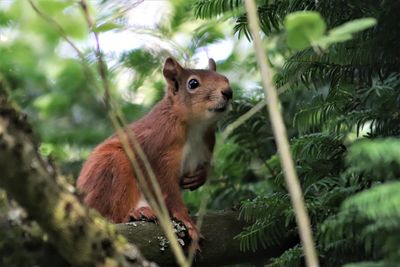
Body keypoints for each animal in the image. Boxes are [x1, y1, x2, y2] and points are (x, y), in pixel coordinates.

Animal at [76, 57, 231, 248]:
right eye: (193, 83)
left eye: (225, 78)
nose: (228, 92)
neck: (195, 127)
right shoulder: (159, 152)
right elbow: (168, 190)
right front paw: (187, 220)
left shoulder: (206, 145)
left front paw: (200, 176)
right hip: (113, 166)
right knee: (112, 215)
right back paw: (135, 213)